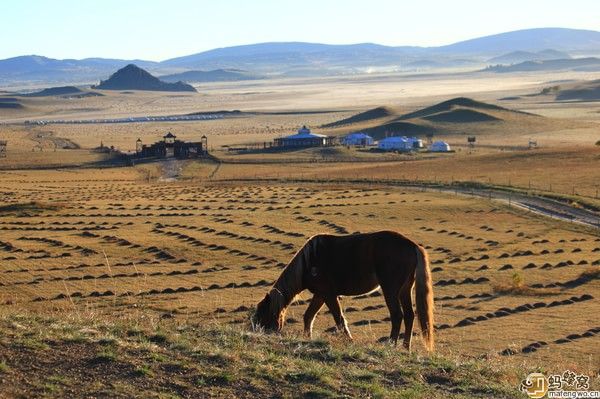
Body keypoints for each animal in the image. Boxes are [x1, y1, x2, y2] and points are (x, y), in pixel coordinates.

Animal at [254, 230, 436, 352]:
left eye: (263, 313)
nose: (257, 331)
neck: (310, 261)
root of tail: (412, 246)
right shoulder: (320, 295)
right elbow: (309, 316)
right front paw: (308, 338)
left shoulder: (328, 295)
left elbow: (339, 318)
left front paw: (349, 340)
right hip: (405, 290)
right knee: (409, 315)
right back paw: (406, 347)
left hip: (390, 290)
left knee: (397, 315)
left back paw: (391, 344)